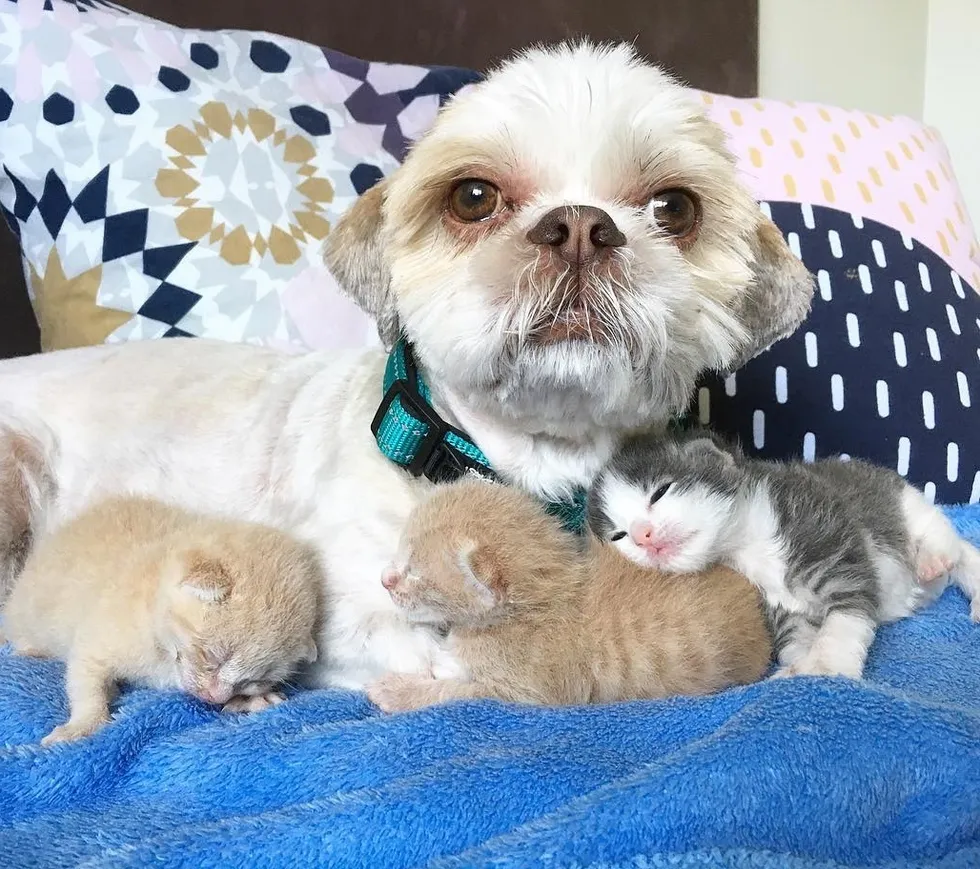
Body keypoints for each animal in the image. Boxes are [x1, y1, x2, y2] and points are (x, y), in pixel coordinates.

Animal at [0, 43, 813, 689]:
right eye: (473, 196)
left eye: (675, 208)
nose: (581, 226)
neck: (525, 464)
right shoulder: (340, 609)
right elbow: (425, 648)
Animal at [1, 495, 322, 744]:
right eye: (211, 657)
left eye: (253, 681)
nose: (213, 698)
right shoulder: (95, 642)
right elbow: (86, 684)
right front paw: (82, 725)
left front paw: (248, 701)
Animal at [587, 429, 980, 679]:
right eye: (619, 535)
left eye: (660, 492)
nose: (643, 536)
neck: (745, 543)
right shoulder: (773, 605)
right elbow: (794, 637)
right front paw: (800, 666)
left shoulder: (828, 539)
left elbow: (847, 611)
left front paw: (829, 665)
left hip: (898, 499)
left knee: (949, 537)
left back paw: (934, 555)